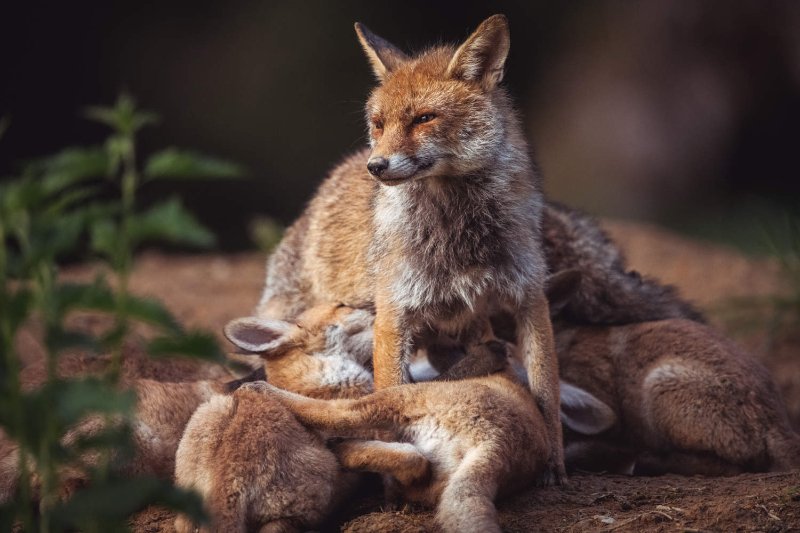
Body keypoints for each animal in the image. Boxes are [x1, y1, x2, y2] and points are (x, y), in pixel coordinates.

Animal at [257, 14, 565, 484]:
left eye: (424, 118)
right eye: (378, 123)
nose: (376, 166)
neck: (459, 234)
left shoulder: (528, 297)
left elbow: (547, 392)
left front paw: (555, 465)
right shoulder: (394, 313)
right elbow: (389, 400)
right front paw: (391, 473)